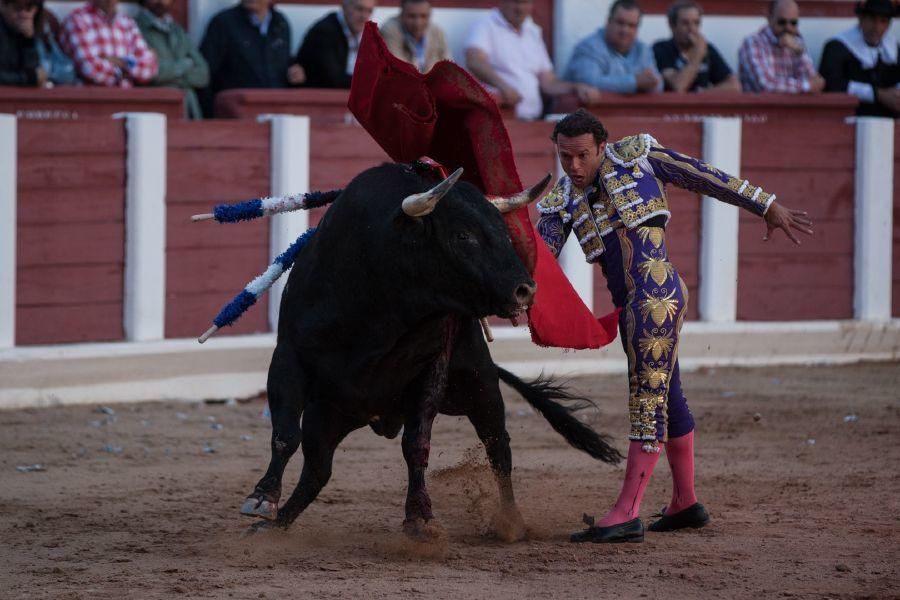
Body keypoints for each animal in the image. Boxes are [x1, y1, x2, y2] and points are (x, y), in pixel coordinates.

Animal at [239, 161, 620, 540]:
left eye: (504, 232)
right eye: (462, 235)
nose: (526, 290)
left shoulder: (431, 368)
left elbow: (416, 444)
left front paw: (419, 516)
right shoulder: (288, 357)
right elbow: (285, 434)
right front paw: (261, 498)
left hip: (481, 387)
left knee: (498, 447)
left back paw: (510, 522)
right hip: (329, 414)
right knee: (317, 470)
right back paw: (272, 526)